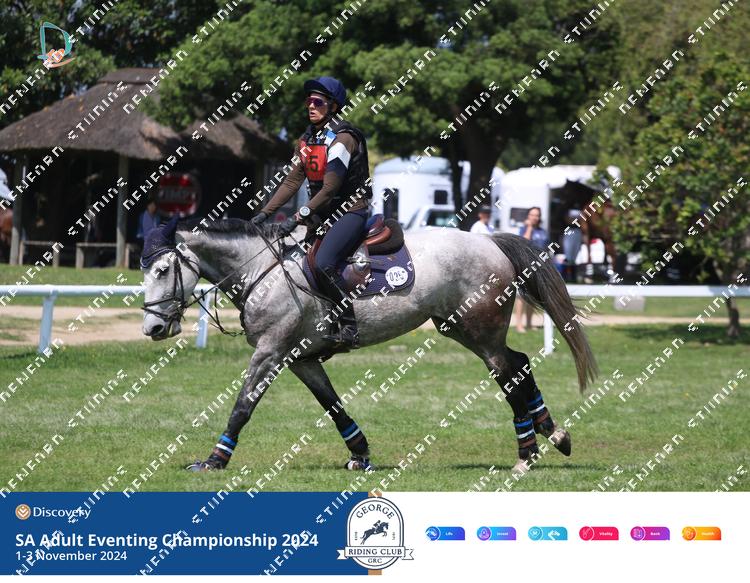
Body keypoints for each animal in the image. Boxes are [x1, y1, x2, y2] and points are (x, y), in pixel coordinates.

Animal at [139, 215, 597, 475]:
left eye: (161, 270)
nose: (153, 327)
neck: (263, 271)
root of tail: (486, 241)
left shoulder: (270, 351)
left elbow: (242, 406)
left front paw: (215, 460)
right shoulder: (300, 358)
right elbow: (333, 406)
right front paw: (359, 455)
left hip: (479, 330)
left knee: (510, 372)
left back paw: (529, 451)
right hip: (460, 329)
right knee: (518, 365)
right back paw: (550, 435)